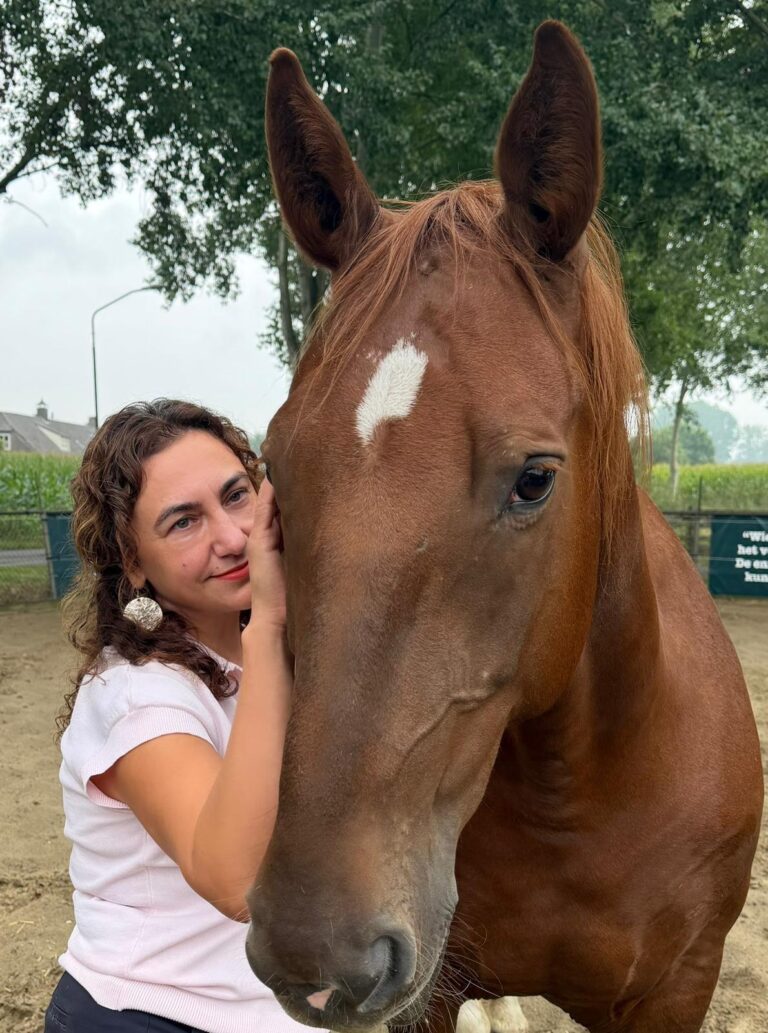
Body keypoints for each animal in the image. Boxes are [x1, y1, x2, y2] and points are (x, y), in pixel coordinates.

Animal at [246, 21, 763, 1033]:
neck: (586, 790)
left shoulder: (678, 988)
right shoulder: (433, 993)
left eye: (535, 479)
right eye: (275, 468)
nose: (313, 948)